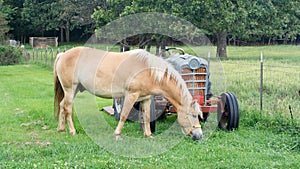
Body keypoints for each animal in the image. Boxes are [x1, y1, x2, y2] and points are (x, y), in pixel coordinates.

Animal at [54, 46, 204, 141]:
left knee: (61, 105)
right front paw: (117, 134)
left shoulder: (146, 98)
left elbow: (147, 117)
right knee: (67, 108)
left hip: (72, 90)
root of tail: (63, 55)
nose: (199, 135)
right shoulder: (131, 96)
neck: (148, 70)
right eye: (193, 115)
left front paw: (148, 135)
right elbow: (124, 115)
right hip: (70, 89)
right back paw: (72, 131)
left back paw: (61, 129)